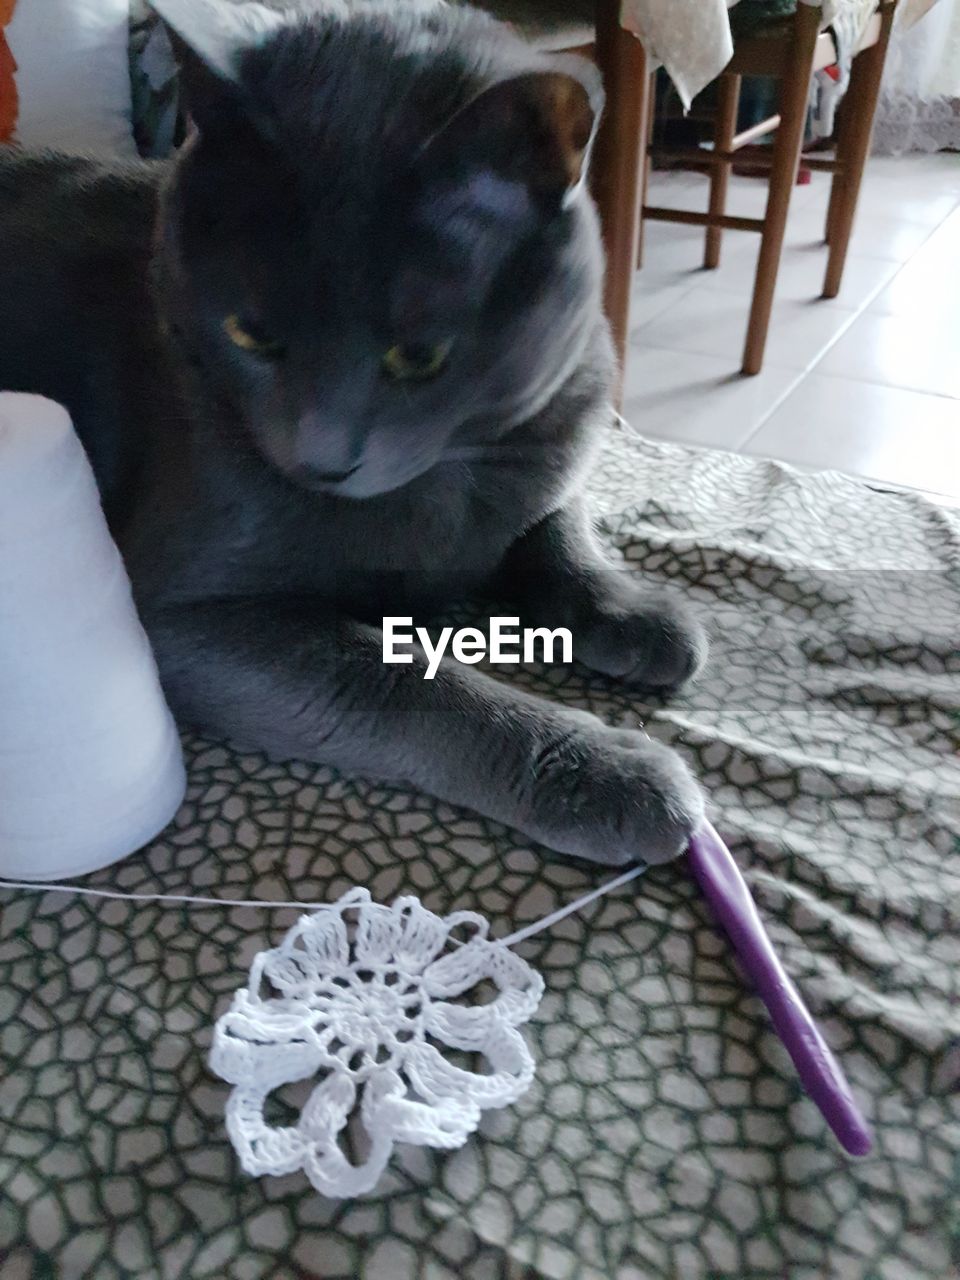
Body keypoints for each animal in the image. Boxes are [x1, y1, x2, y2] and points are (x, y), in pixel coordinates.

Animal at [0, 0, 706, 865]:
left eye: (420, 356)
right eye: (248, 334)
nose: (322, 459)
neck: (455, 474)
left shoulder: (557, 440)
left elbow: (557, 526)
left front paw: (637, 610)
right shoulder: (181, 608)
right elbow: (400, 680)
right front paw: (608, 769)